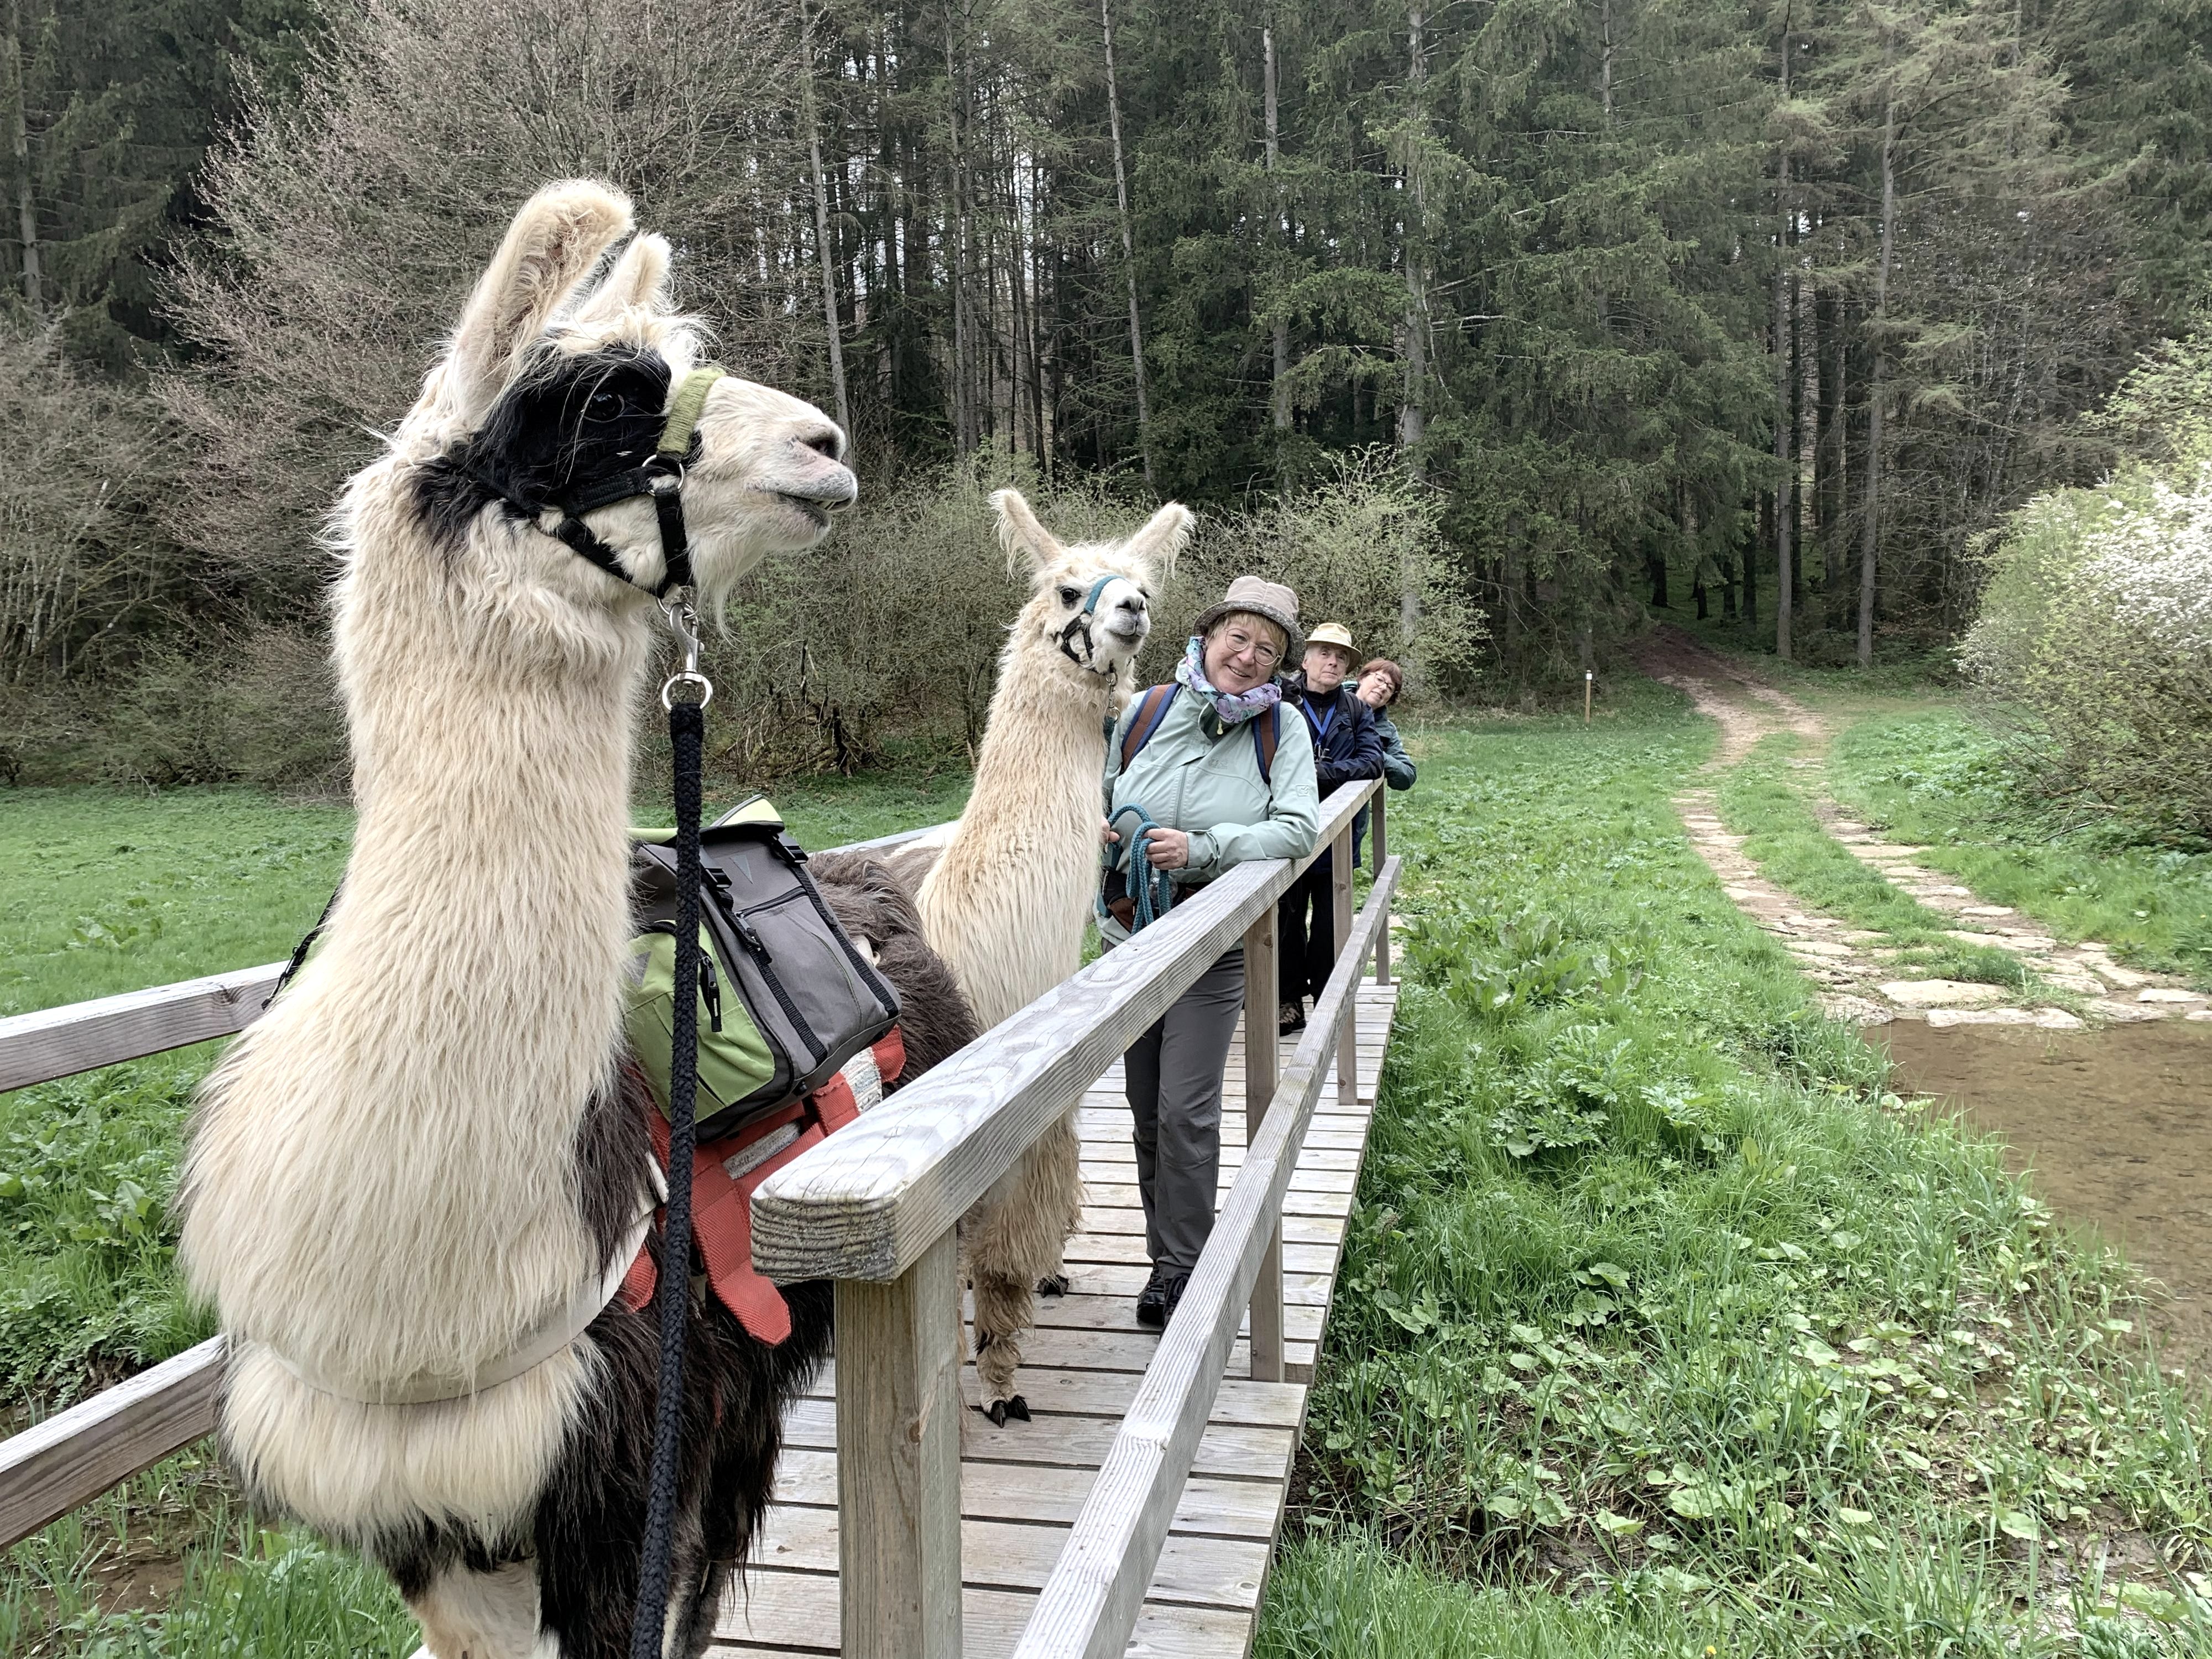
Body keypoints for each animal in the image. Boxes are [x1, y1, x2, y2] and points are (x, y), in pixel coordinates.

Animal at [916, 488, 1188, 1423]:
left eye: (1144, 582)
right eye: (1069, 589)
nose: (1131, 607)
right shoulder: (1004, 1146)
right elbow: (999, 1264)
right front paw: (1001, 1383)